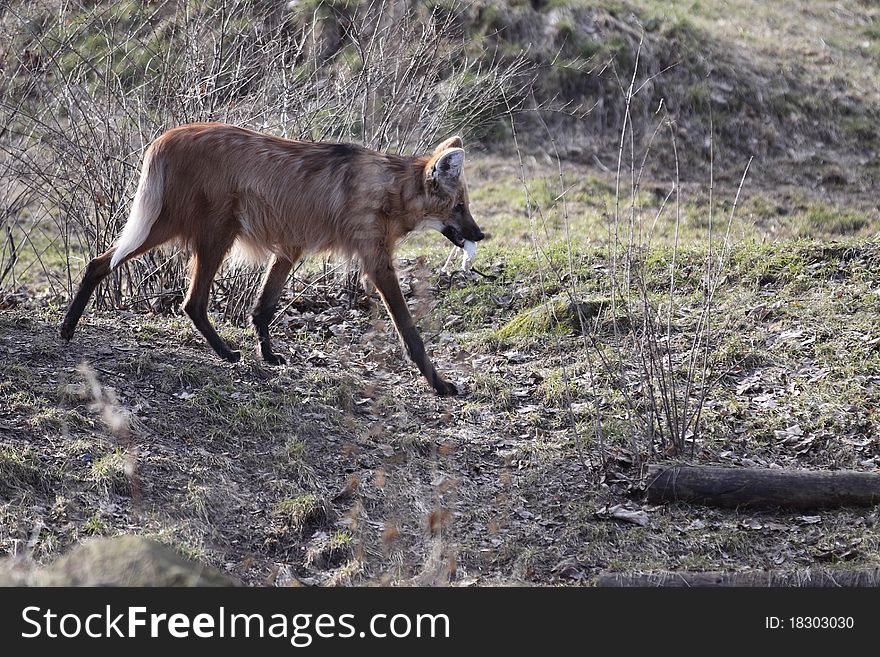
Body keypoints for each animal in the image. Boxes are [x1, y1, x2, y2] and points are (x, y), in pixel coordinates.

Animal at [60, 123, 488, 394]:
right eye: (460, 206)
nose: (480, 234)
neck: (391, 191)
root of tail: (166, 136)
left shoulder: (289, 247)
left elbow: (262, 307)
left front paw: (267, 354)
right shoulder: (376, 261)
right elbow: (409, 330)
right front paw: (439, 383)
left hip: (177, 227)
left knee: (98, 263)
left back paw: (67, 329)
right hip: (208, 232)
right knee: (191, 301)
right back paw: (225, 353)